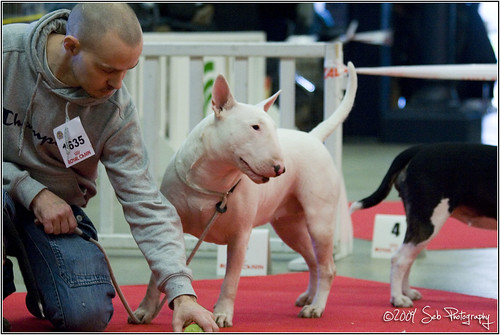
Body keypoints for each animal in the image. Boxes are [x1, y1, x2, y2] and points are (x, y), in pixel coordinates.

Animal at [350, 143, 498, 308]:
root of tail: (420, 148)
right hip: (428, 223)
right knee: (400, 259)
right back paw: (398, 298)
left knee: (408, 258)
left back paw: (406, 292)